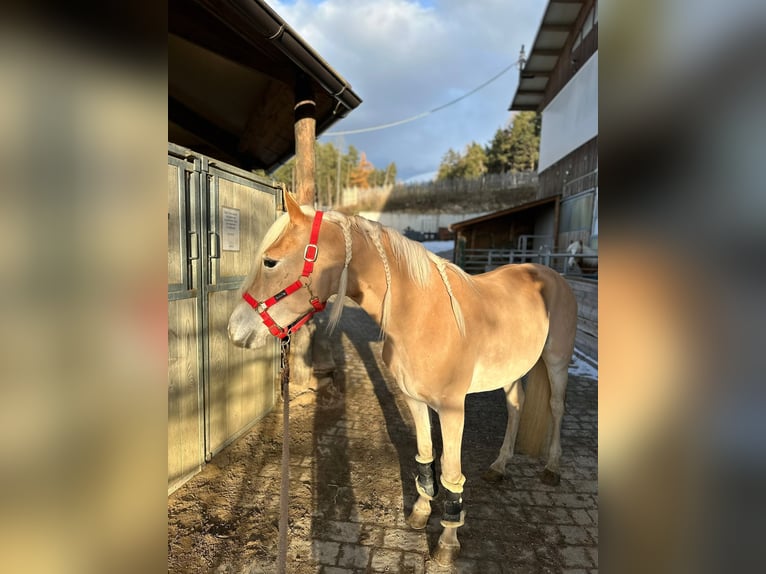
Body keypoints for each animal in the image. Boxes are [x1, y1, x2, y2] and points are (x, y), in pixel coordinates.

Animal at [231, 192, 580, 568]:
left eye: (270, 261)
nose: (234, 330)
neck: (422, 314)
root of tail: (551, 274)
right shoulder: (415, 400)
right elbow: (425, 456)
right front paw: (420, 513)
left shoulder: (453, 410)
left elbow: (450, 471)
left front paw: (447, 543)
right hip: (511, 371)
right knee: (516, 406)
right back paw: (499, 467)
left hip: (557, 362)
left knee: (556, 407)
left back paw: (552, 467)